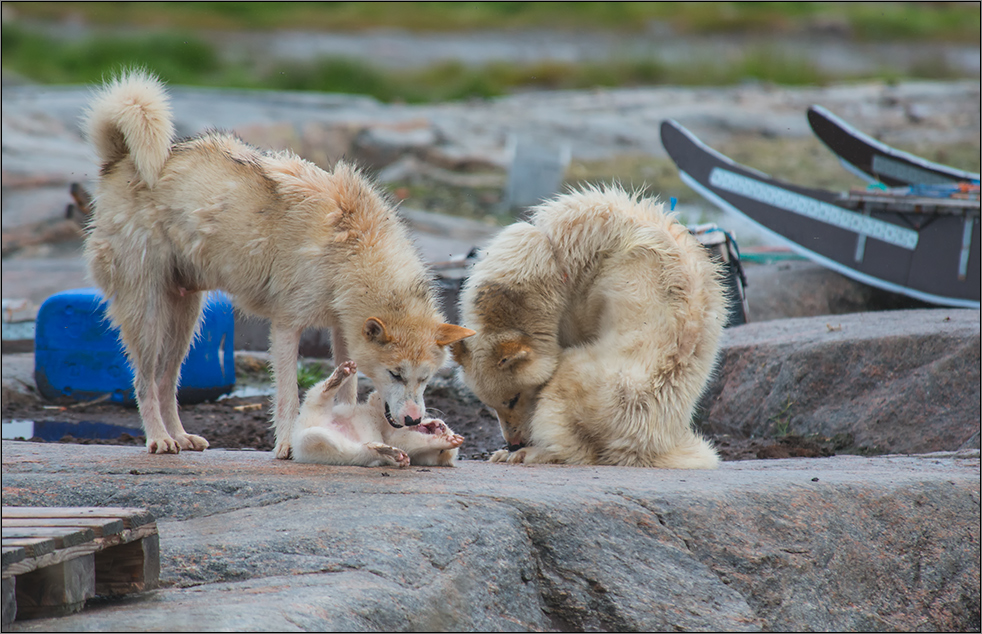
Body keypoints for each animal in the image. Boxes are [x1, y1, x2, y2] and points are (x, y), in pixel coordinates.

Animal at [292, 360, 466, 464]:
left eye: (442, 452)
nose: (443, 427)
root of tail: (300, 440)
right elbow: (378, 399)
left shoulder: (399, 441)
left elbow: (419, 440)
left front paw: (447, 439)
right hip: (312, 403)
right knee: (322, 392)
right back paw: (342, 372)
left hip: (350, 452)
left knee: (369, 449)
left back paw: (393, 454)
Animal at [452, 185, 724, 466]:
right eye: (490, 403)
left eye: (513, 398)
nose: (514, 442)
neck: (551, 249)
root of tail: (649, 444)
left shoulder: (579, 295)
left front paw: (518, 450)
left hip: (619, 392)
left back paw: (528, 454)